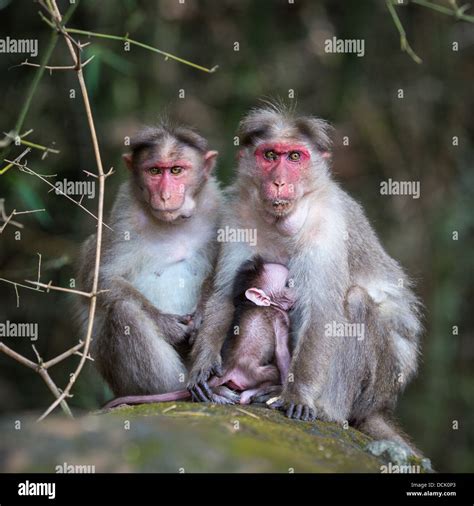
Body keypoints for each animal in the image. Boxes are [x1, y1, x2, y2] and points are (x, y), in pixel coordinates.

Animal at [77, 121, 221, 396]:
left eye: (176, 170)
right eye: (154, 171)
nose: (164, 195)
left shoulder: (217, 205)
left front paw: (200, 318)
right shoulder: (125, 211)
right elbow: (101, 279)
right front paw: (167, 325)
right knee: (123, 311)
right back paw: (170, 391)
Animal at [105, 255, 294, 410]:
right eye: (288, 284)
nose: (296, 289)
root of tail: (229, 368)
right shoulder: (280, 317)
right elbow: (282, 353)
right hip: (253, 373)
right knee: (271, 372)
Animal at [189, 105, 422, 452]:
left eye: (295, 157)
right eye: (270, 155)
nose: (279, 181)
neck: (282, 219)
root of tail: (380, 406)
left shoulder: (328, 225)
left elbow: (324, 312)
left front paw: (297, 395)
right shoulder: (237, 215)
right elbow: (224, 293)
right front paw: (203, 366)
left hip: (381, 383)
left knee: (355, 302)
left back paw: (327, 409)